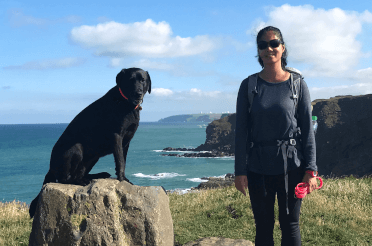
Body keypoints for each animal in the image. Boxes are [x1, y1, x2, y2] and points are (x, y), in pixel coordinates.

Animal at [28, 67, 151, 217]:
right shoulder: (117, 137)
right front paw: (123, 179)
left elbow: (123, 160)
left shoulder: (126, 142)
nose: (138, 93)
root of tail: (50, 167)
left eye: (142, 80)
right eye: (130, 80)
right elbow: (120, 160)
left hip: (93, 157)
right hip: (77, 148)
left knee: (80, 173)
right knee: (66, 179)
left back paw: (96, 176)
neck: (125, 103)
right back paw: (83, 181)